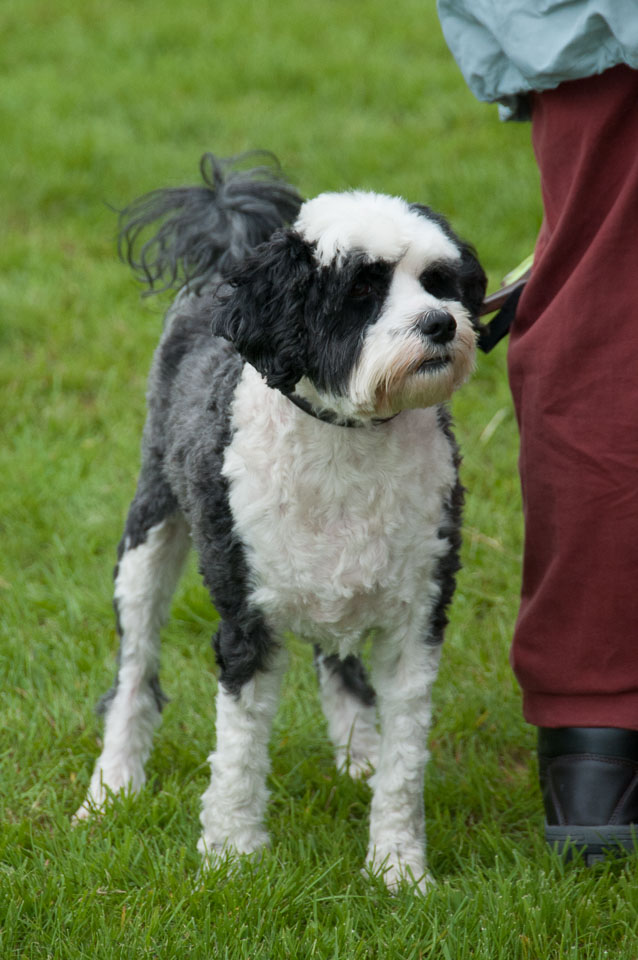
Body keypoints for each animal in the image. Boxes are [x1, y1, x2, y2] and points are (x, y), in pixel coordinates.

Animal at [76, 152, 484, 892]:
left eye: (440, 282)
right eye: (361, 291)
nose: (441, 325)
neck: (347, 442)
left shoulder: (419, 620)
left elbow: (406, 762)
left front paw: (398, 868)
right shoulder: (246, 623)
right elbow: (237, 751)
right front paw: (233, 854)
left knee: (337, 659)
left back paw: (358, 750)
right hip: (147, 537)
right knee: (133, 672)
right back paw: (112, 786)